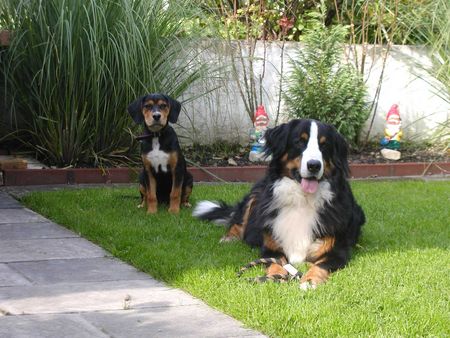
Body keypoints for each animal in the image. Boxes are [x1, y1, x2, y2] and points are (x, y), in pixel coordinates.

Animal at [194, 118, 366, 288]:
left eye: (324, 145)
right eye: (299, 142)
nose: (314, 165)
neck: (302, 199)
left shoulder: (336, 251)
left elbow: (320, 265)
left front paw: (310, 279)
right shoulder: (271, 247)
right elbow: (276, 262)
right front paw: (275, 275)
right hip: (257, 194)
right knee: (239, 219)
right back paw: (229, 238)